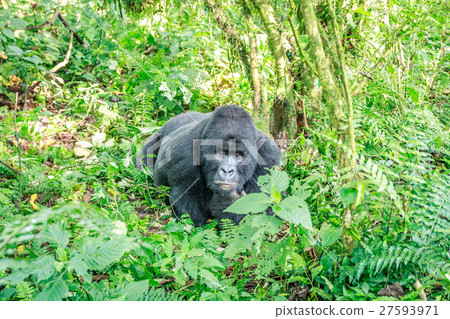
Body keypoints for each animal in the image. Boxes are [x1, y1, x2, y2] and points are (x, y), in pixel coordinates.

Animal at [135, 105, 280, 228]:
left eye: (238, 155)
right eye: (222, 153)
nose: (227, 170)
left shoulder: (269, 157)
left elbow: (262, 215)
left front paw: (227, 201)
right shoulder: (184, 154)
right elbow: (188, 214)